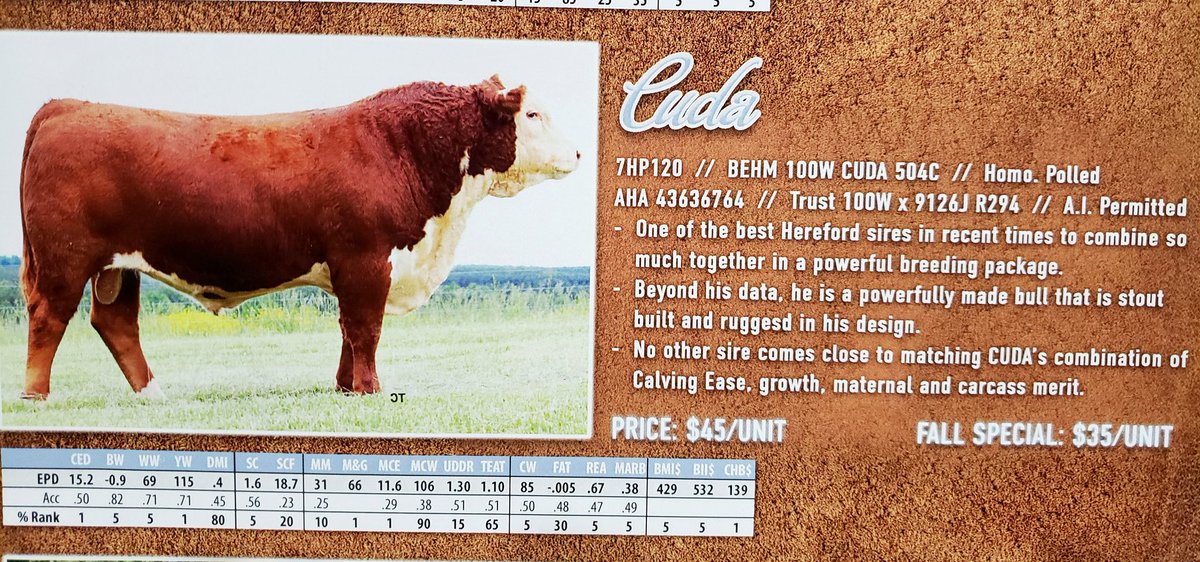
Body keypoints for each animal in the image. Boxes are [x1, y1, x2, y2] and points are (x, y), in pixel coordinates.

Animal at [18, 75, 580, 399]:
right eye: (532, 114)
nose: (577, 153)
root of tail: (65, 106)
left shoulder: (354, 268)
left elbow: (348, 330)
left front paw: (345, 389)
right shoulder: (366, 259)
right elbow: (365, 329)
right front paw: (372, 391)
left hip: (117, 265)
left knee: (114, 322)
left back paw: (151, 393)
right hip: (65, 258)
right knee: (49, 316)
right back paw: (35, 396)